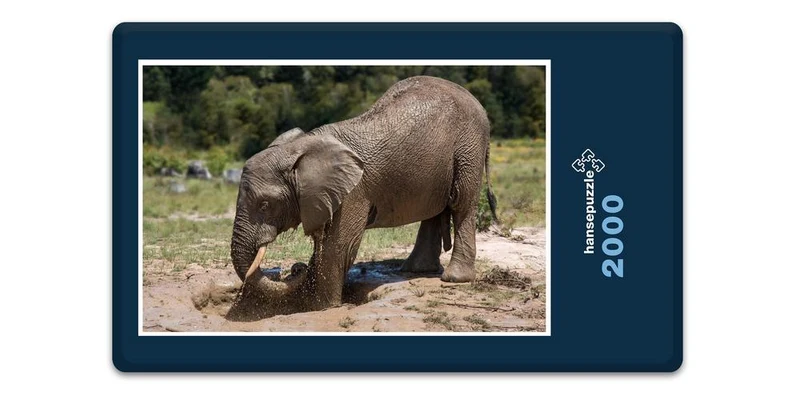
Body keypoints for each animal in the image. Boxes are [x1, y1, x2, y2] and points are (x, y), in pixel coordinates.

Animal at [230, 75, 498, 313]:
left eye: (265, 205)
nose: (294, 268)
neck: (301, 147)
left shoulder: (353, 192)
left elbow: (338, 246)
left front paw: (321, 307)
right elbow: (323, 245)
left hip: (469, 147)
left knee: (462, 203)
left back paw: (454, 278)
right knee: (434, 210)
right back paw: (415, 270)